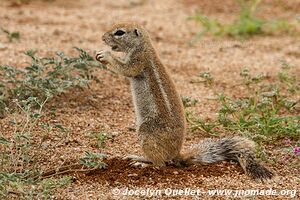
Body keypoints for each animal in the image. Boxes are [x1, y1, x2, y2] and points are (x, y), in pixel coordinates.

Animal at [95, 22, 274, 181]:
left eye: (119, 32)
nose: (102, 37)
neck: (143, 46)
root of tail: (177, 153)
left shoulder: (138, 60)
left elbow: (126, 69)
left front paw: (105, 55)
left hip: (147, 133)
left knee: (161, 163)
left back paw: (143, 164)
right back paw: (138, 157)